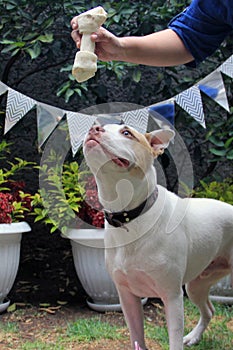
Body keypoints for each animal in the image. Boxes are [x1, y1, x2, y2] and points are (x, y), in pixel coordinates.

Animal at [83, 123, 232, 350]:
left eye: (127, 133)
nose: (94, 128)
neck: (131, 215)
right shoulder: (127, 296)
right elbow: (137, 336)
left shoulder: (171, 297)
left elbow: (174, 340)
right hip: (196, 284)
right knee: (209, 310)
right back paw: (194, 337)